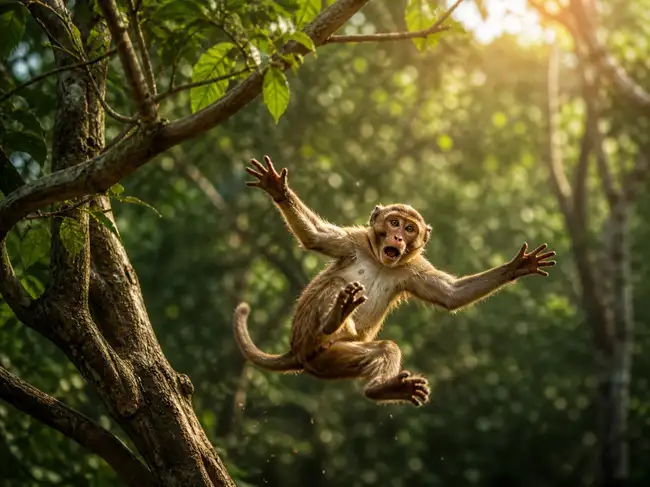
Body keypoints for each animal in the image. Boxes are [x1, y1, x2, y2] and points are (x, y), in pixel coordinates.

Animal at [234, 155, 556, 406]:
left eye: (410, 229)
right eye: (394, 222)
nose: (398, 237)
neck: (381, 261)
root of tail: (297, 352)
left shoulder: (413, 269)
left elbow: (451, 295)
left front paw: (517, 267)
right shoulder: (353, 241)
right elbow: (314, 236)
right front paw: (278, 188)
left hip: (329, 359)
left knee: (384, 349)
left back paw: (380, 388)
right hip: (307, 334)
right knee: (334, 286)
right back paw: (335, 318)